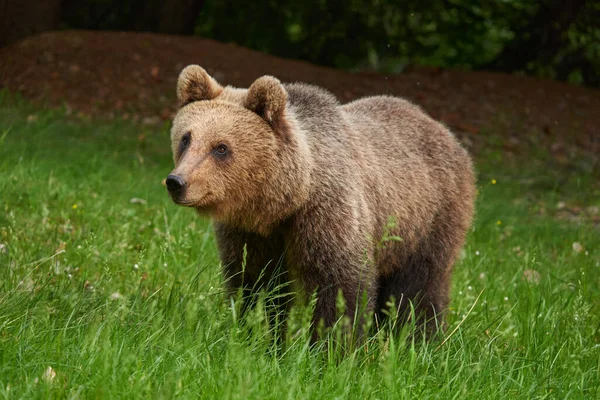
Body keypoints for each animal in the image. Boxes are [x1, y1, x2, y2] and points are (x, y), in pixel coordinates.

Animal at [166, 65, 476, 340]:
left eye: (221, 147)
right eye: (186, 138)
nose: (177, 182)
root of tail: (444, 131)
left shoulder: (327, 217)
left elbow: (339, 288)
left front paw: (332, 348)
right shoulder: (250, 234)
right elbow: (255, 283)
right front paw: (256, 334)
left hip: (426, 218)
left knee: (419, 286)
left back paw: (417, 338)